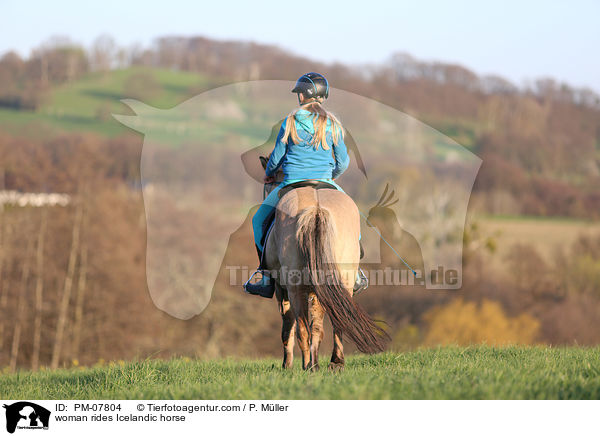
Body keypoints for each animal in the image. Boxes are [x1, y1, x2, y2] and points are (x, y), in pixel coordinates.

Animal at [258, 156, 390, 368]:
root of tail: (316, 209)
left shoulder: (281, 288)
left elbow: (288, 327)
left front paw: (287, 365)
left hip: (295, 288)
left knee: (303, 329)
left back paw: (308, 366)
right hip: (341, 281)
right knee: (337, 319)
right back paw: (334, 362)